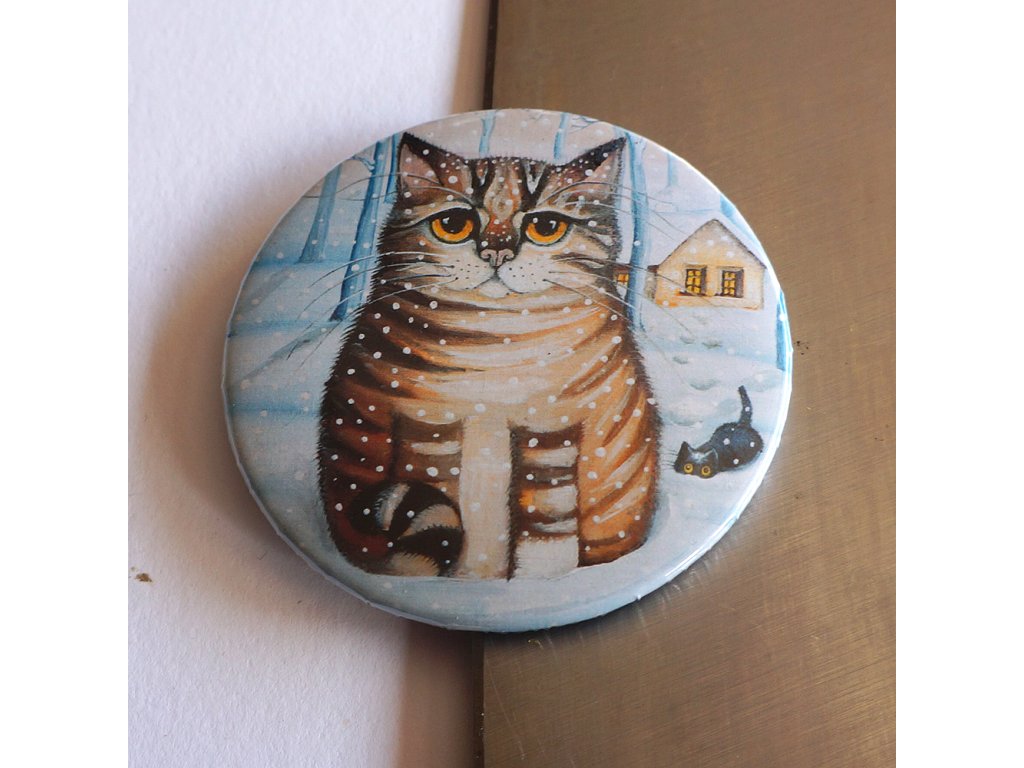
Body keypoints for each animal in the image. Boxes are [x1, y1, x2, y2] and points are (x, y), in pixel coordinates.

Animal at [317, 132, 661, 579]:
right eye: (453, 225)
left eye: (545, 227)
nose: (497, 253)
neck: (497, 348)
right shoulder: (426, 423)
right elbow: (437, 500)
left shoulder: (553, 428)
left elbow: (546, 535)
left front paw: (536, 582)